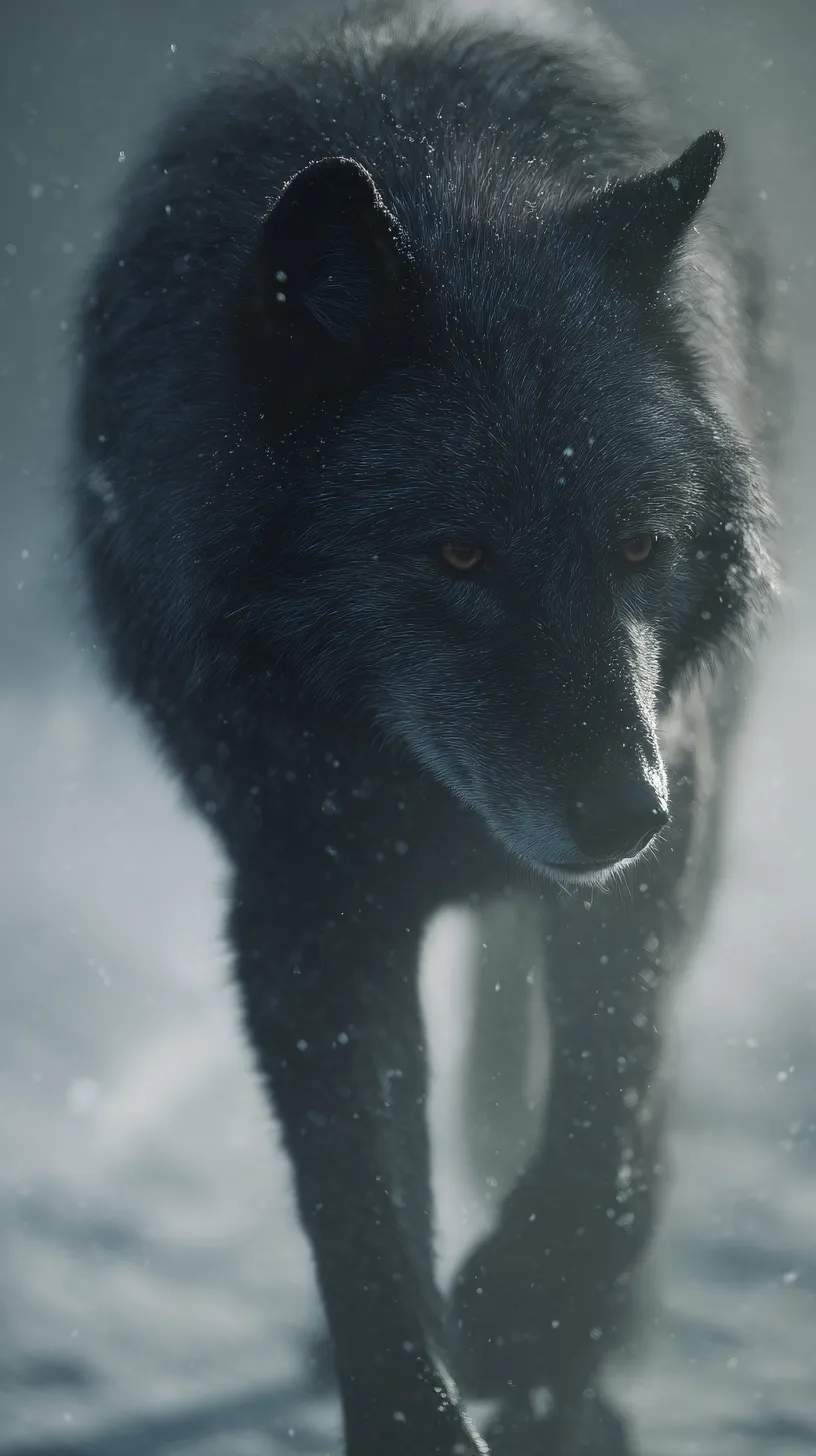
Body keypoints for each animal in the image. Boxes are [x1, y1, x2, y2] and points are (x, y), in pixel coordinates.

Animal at [70, 2, 779, 1452]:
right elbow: (360, 1216)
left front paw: (540, 1308)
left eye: (640, 545)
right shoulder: (303, 896)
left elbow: (612, 1092)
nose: (619, 810)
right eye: (457, 555)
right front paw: (422, 1396)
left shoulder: (672, 783)